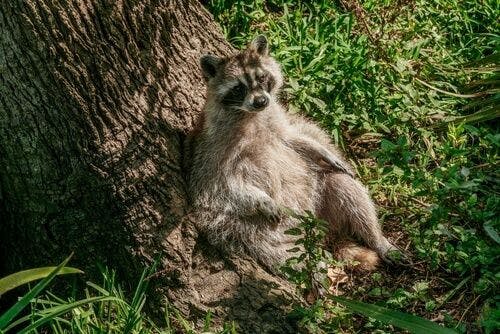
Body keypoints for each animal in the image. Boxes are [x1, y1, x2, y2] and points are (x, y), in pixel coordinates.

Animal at [189, 35, 396, 272]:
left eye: (262, 78)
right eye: (238, 88)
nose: (261, 101)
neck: (250, 115)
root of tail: (322, 230)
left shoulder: (275, 121)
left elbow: (292, 139)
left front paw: (322, 150)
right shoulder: (212, 149)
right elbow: (219, 186)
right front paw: (262, 199)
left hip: (322, 189)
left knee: (347, 188)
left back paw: (377, 239)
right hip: (248, 228)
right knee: (280, 252)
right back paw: (315, 271)